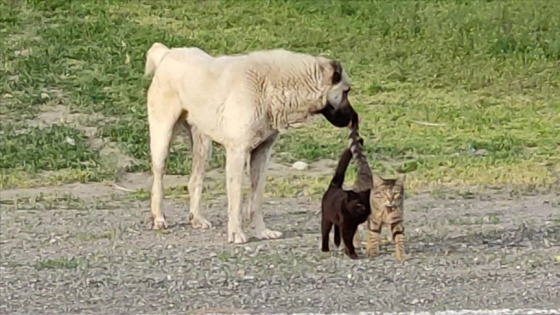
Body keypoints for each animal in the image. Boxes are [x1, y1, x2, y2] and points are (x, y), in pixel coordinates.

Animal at [142, 42, 356, 244]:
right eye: (346, 91)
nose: (355, 119)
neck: (272, 84)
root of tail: (168, 53)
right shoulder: (237, 153)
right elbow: (236, 200)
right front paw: (236, 233)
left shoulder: (261, 155)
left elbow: (256, 200)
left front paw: (261, 232)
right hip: (162, 138)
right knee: (158, 181)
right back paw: (159, 218)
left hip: (203, 146)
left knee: (194, 181)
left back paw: (197, 219)